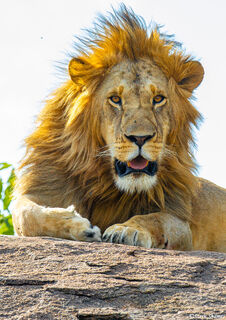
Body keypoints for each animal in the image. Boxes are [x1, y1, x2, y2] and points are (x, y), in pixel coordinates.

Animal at [12, 4, 226, 250]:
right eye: (115, 99)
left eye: (158, 99)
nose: (140, 138)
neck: (107, 181)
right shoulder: (44, 187)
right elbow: (27, 215)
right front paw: (80, 226)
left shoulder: (180, 223)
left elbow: (154, 218)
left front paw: (127, 229)